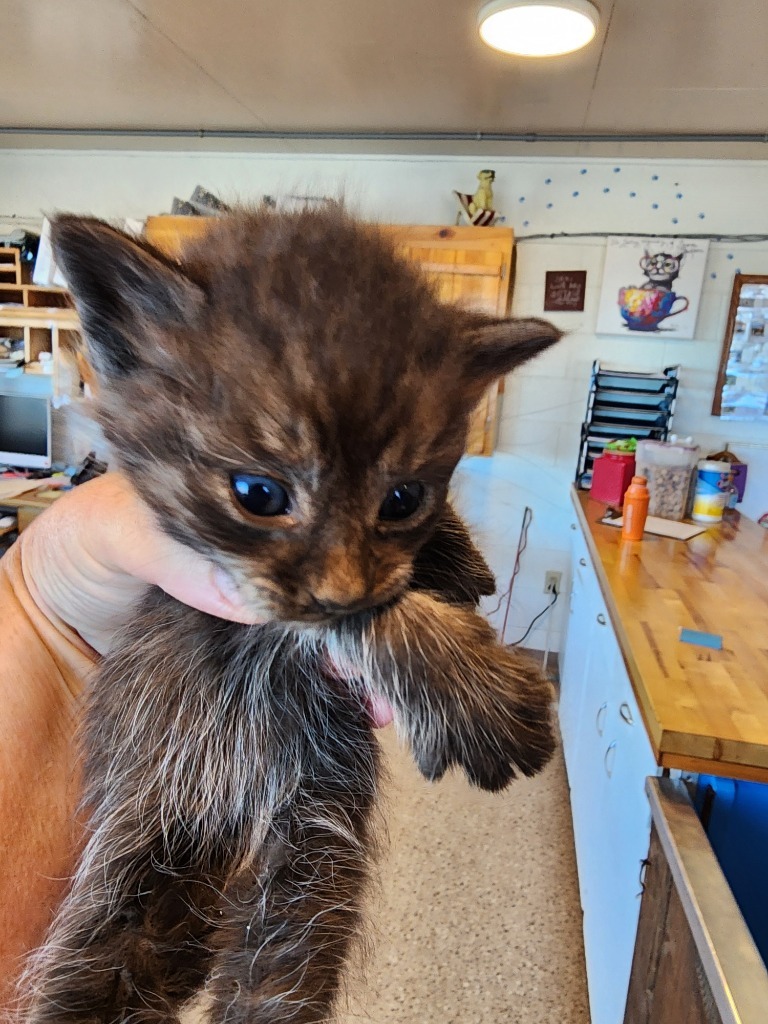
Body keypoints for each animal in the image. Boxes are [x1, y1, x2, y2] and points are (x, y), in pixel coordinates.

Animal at [18, 207, 561, 1024]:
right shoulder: (227, 586)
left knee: (276, 970)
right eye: (258, 494)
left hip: (311, 849)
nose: (340, 591)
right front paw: (478, 697)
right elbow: (351, 618)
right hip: (134, 846)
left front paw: (457, 556)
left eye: (403, 498)